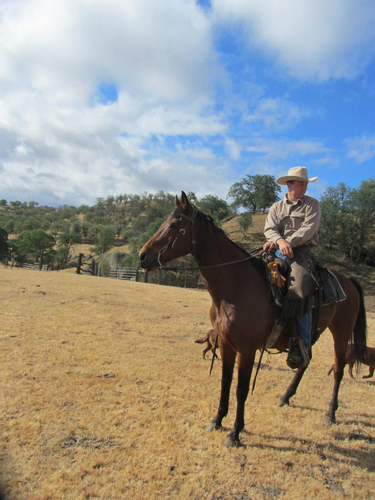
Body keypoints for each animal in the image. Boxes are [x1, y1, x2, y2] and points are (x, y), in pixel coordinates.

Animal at [139, 193, 368, 448]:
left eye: (174, 225)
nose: (142, 256)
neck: (236, 287)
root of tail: (347, 280)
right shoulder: (226, 343)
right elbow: (225, 381)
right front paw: (217, 420)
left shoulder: (247, 348)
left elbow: (241, 388)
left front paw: (235, 432)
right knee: (306, 360)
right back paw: (285, 397)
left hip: (341, 332)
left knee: (338, 368)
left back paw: (330, 413)